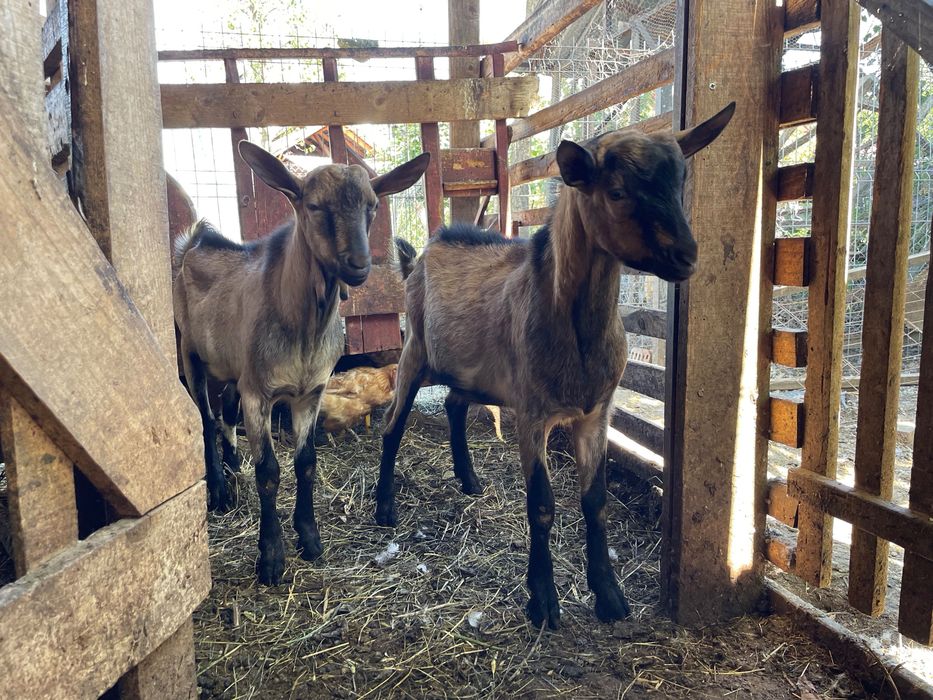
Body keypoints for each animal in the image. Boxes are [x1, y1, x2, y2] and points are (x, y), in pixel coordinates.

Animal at [173, 141, 429, 585]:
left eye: (373, 206)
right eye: (313, 205)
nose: (359, 264)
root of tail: (195, 242)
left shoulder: (311, 391)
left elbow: (306, 462)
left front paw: (309, 539)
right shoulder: (258, 394)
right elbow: (269, 471)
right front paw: (271, 557)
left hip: (231, 367)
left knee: (225, 414)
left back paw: (233, 466)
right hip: (191, 352)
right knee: (205, 418)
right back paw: (220, 492)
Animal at [376, 104, 735, 628]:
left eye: (680, 182)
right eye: (617, 190)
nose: (686, 256)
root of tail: (420, 254)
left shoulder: (596, 414)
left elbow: (596, 501)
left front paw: (609, 596)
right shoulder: (532, 413)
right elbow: (542, 505)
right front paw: (543, 599)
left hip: (472, 369)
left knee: (455, 405)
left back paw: (469, 480)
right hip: (415, 353)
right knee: (392, 424)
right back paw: (384, 507)